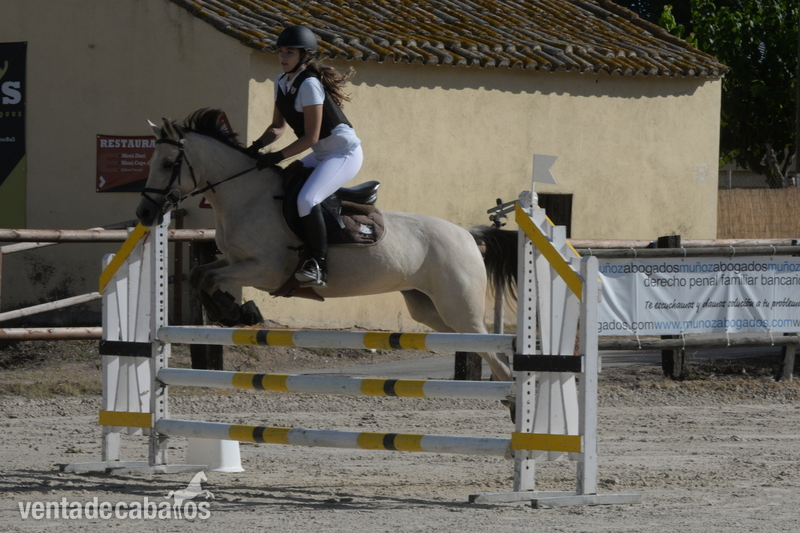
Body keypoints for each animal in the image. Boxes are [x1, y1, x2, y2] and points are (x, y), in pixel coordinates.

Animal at [135, 109, 518, 390]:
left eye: (168, 164)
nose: (144, 214)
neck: (246, 196)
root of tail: (467, 234)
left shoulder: (264, 270)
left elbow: (209, 279)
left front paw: (238, 311)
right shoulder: (233, 261)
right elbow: (200, 275)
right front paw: (236, 312)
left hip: (459, 308)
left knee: (496, 356)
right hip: (430, 309)